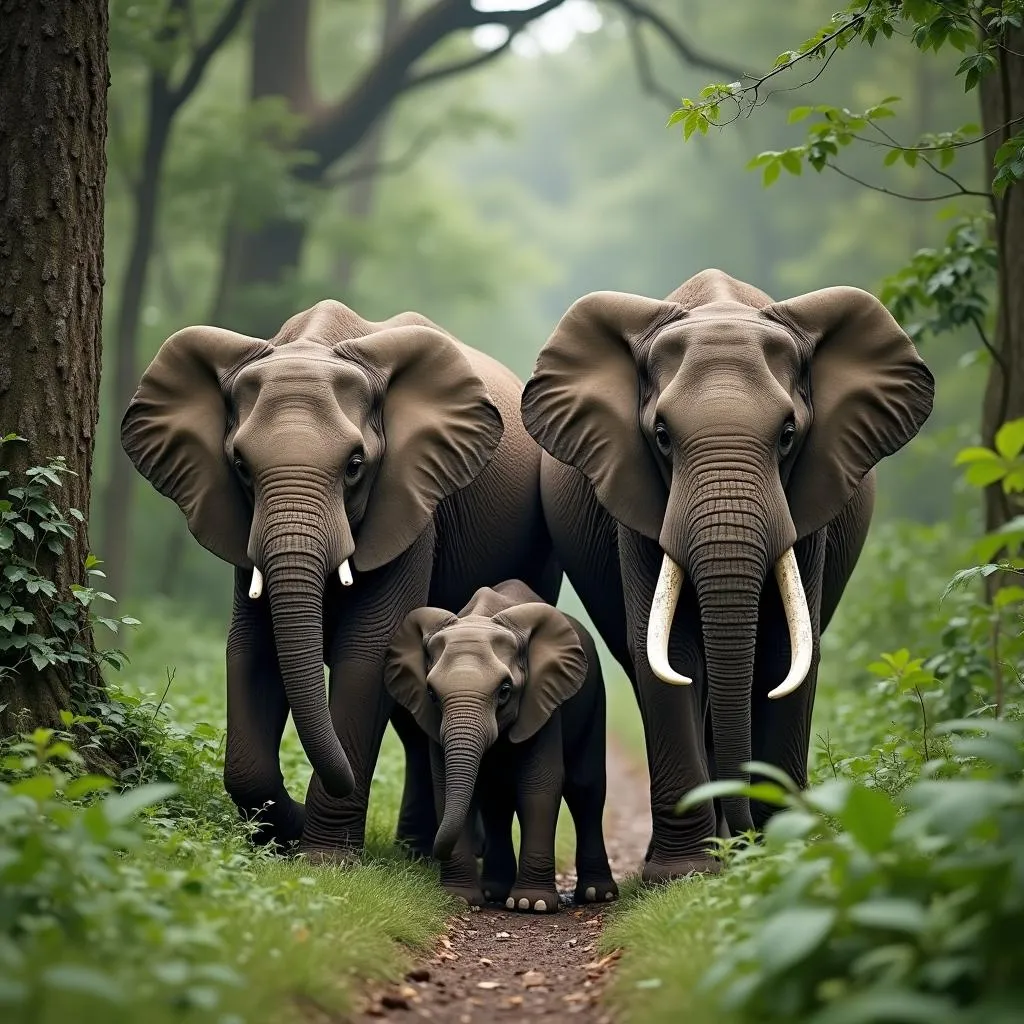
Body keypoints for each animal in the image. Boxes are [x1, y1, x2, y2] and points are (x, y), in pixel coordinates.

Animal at [125, 299, 569, 860]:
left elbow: (367, 650)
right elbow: (251, 647)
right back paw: (414, 849)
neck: (314, 342)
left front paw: (324, 858)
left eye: (356, 464)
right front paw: (280, 836)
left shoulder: (413, 500)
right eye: (241, 466)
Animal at [385, 581, 614, 909]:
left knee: (586, 790)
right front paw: (458, 898)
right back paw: (495, 892)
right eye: (431, 693)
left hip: (595, 697)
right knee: (497, 800)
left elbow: (539, 784)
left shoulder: (542, 699)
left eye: (505, 690)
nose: (424, 856)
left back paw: (598, 895)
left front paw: (532, 905)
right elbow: (444, 783)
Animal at [524, 270, 933, 880]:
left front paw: (780, 852)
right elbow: (673, 654)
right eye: (662, 435)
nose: (745, 838)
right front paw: (684, 873)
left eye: (787, 434)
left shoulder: (809, 501)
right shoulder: (636, 498)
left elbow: (786, 653)